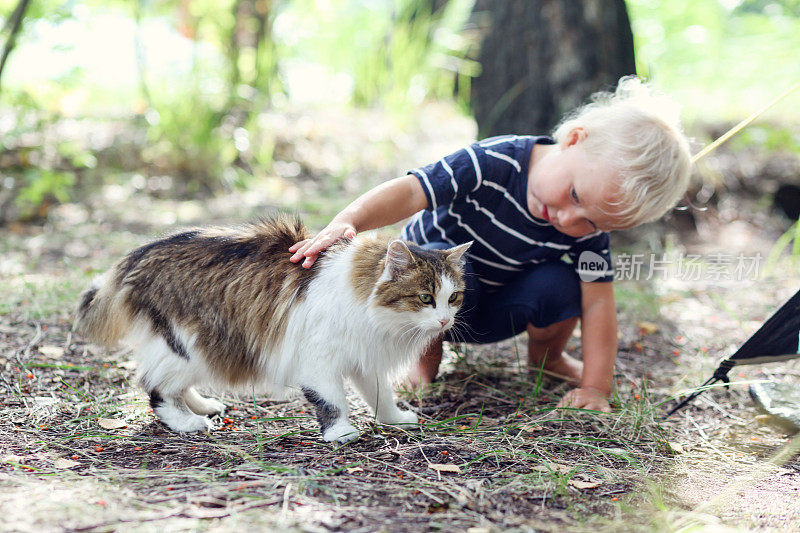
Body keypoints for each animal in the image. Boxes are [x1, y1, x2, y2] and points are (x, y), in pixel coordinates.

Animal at [75, 214, 468, 442]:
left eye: (454, 298)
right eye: (426, 298)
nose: (445, 321)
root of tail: (138, 255)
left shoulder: (363, 357)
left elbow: (380, 396)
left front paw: (396, 419)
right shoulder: (319, 359)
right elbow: (333, 401)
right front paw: (341, 433)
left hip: (197, 351)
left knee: (173, 386)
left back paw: (202, 407)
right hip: (189, 345)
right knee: (155, 389)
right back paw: (188, 423)